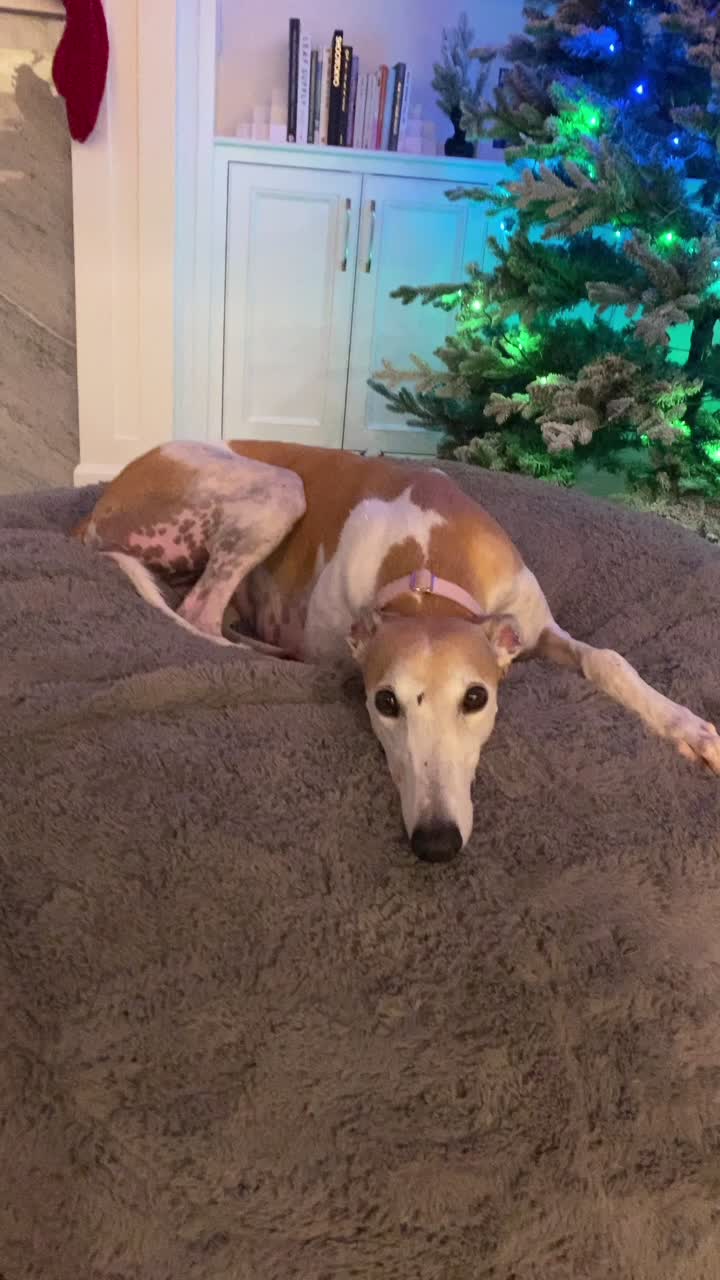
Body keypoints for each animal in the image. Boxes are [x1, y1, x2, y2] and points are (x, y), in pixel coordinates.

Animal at [72, 440, 720, 862]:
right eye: (384, 703)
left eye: (477, 698)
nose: (435, 843)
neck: (427, 571)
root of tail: (97, 507)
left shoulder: (533, 627)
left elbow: (607, 657)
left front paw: (690, 728)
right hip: (276, 490)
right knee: (199, 614)